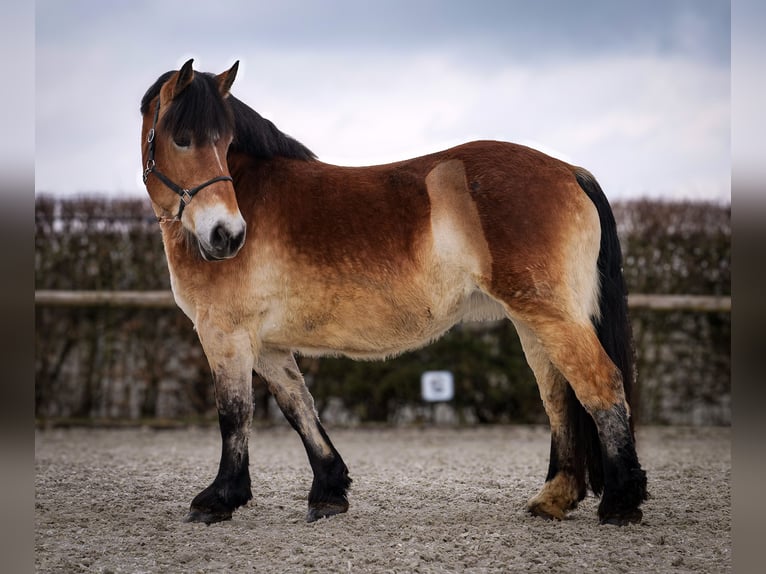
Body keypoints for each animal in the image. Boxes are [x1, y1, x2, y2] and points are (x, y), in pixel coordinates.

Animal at [140, 60, 648, 528]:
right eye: (182, 138)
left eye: (225, 143)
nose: (226, 236)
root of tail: (570, 171)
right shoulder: (266, 344)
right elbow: (298, 406)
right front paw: (329, 490)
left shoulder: (225, 334)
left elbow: (234, 413)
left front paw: (218, 499)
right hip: (531, 321)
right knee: (560, 397)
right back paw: (555, 497)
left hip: (551, 315)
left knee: (600, 384)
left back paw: (621, 503)